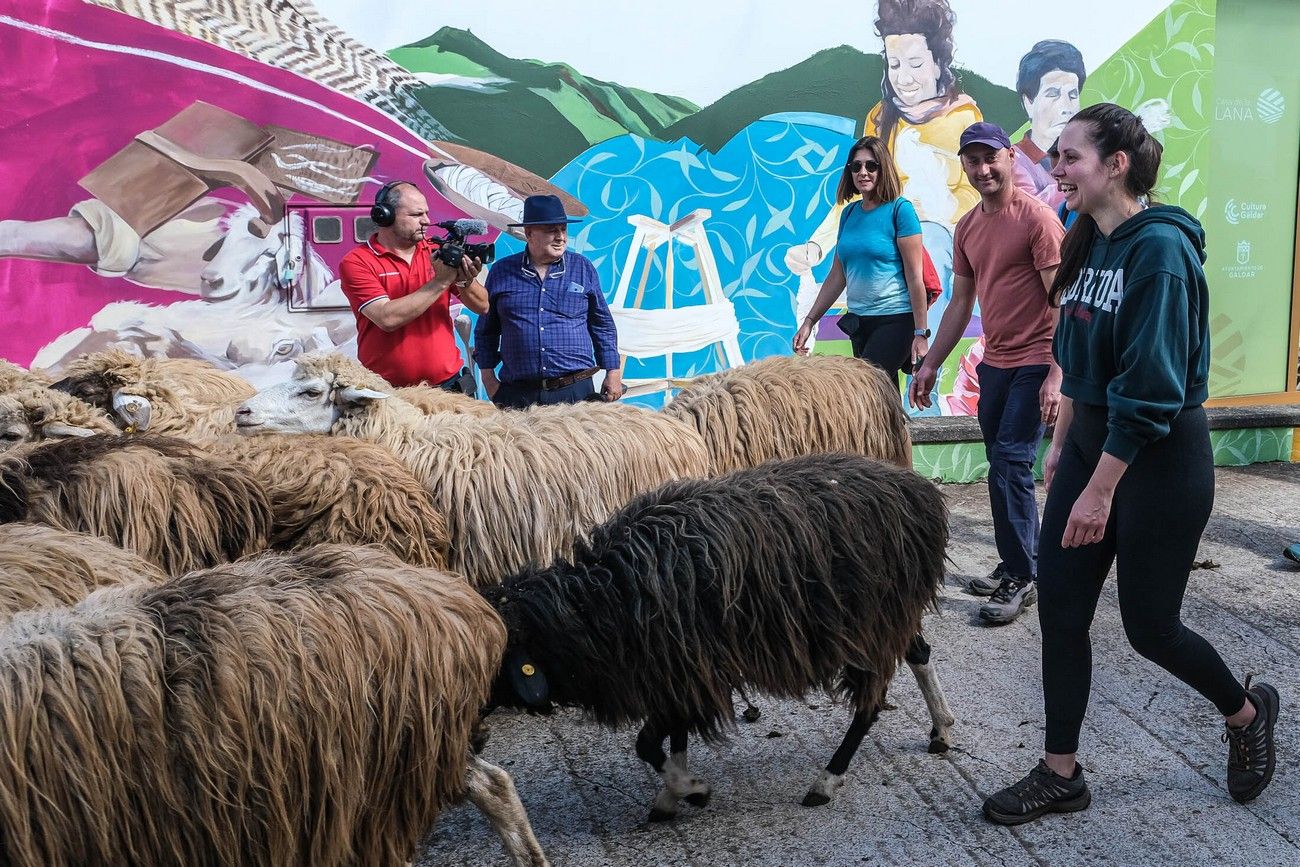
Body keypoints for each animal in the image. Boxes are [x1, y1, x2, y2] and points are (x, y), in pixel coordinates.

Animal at [483, 454, 951, 821]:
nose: (474, 734)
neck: (598, 604)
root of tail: (920, 492)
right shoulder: (678, 673)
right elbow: (671, 740)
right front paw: (672, 795)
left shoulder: (692, 670)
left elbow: (647, 744)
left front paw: (691, 791)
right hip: (889, 617)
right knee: (919, 652)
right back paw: (942, 731)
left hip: (871, 624)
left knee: (869, 705)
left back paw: (826, 781)